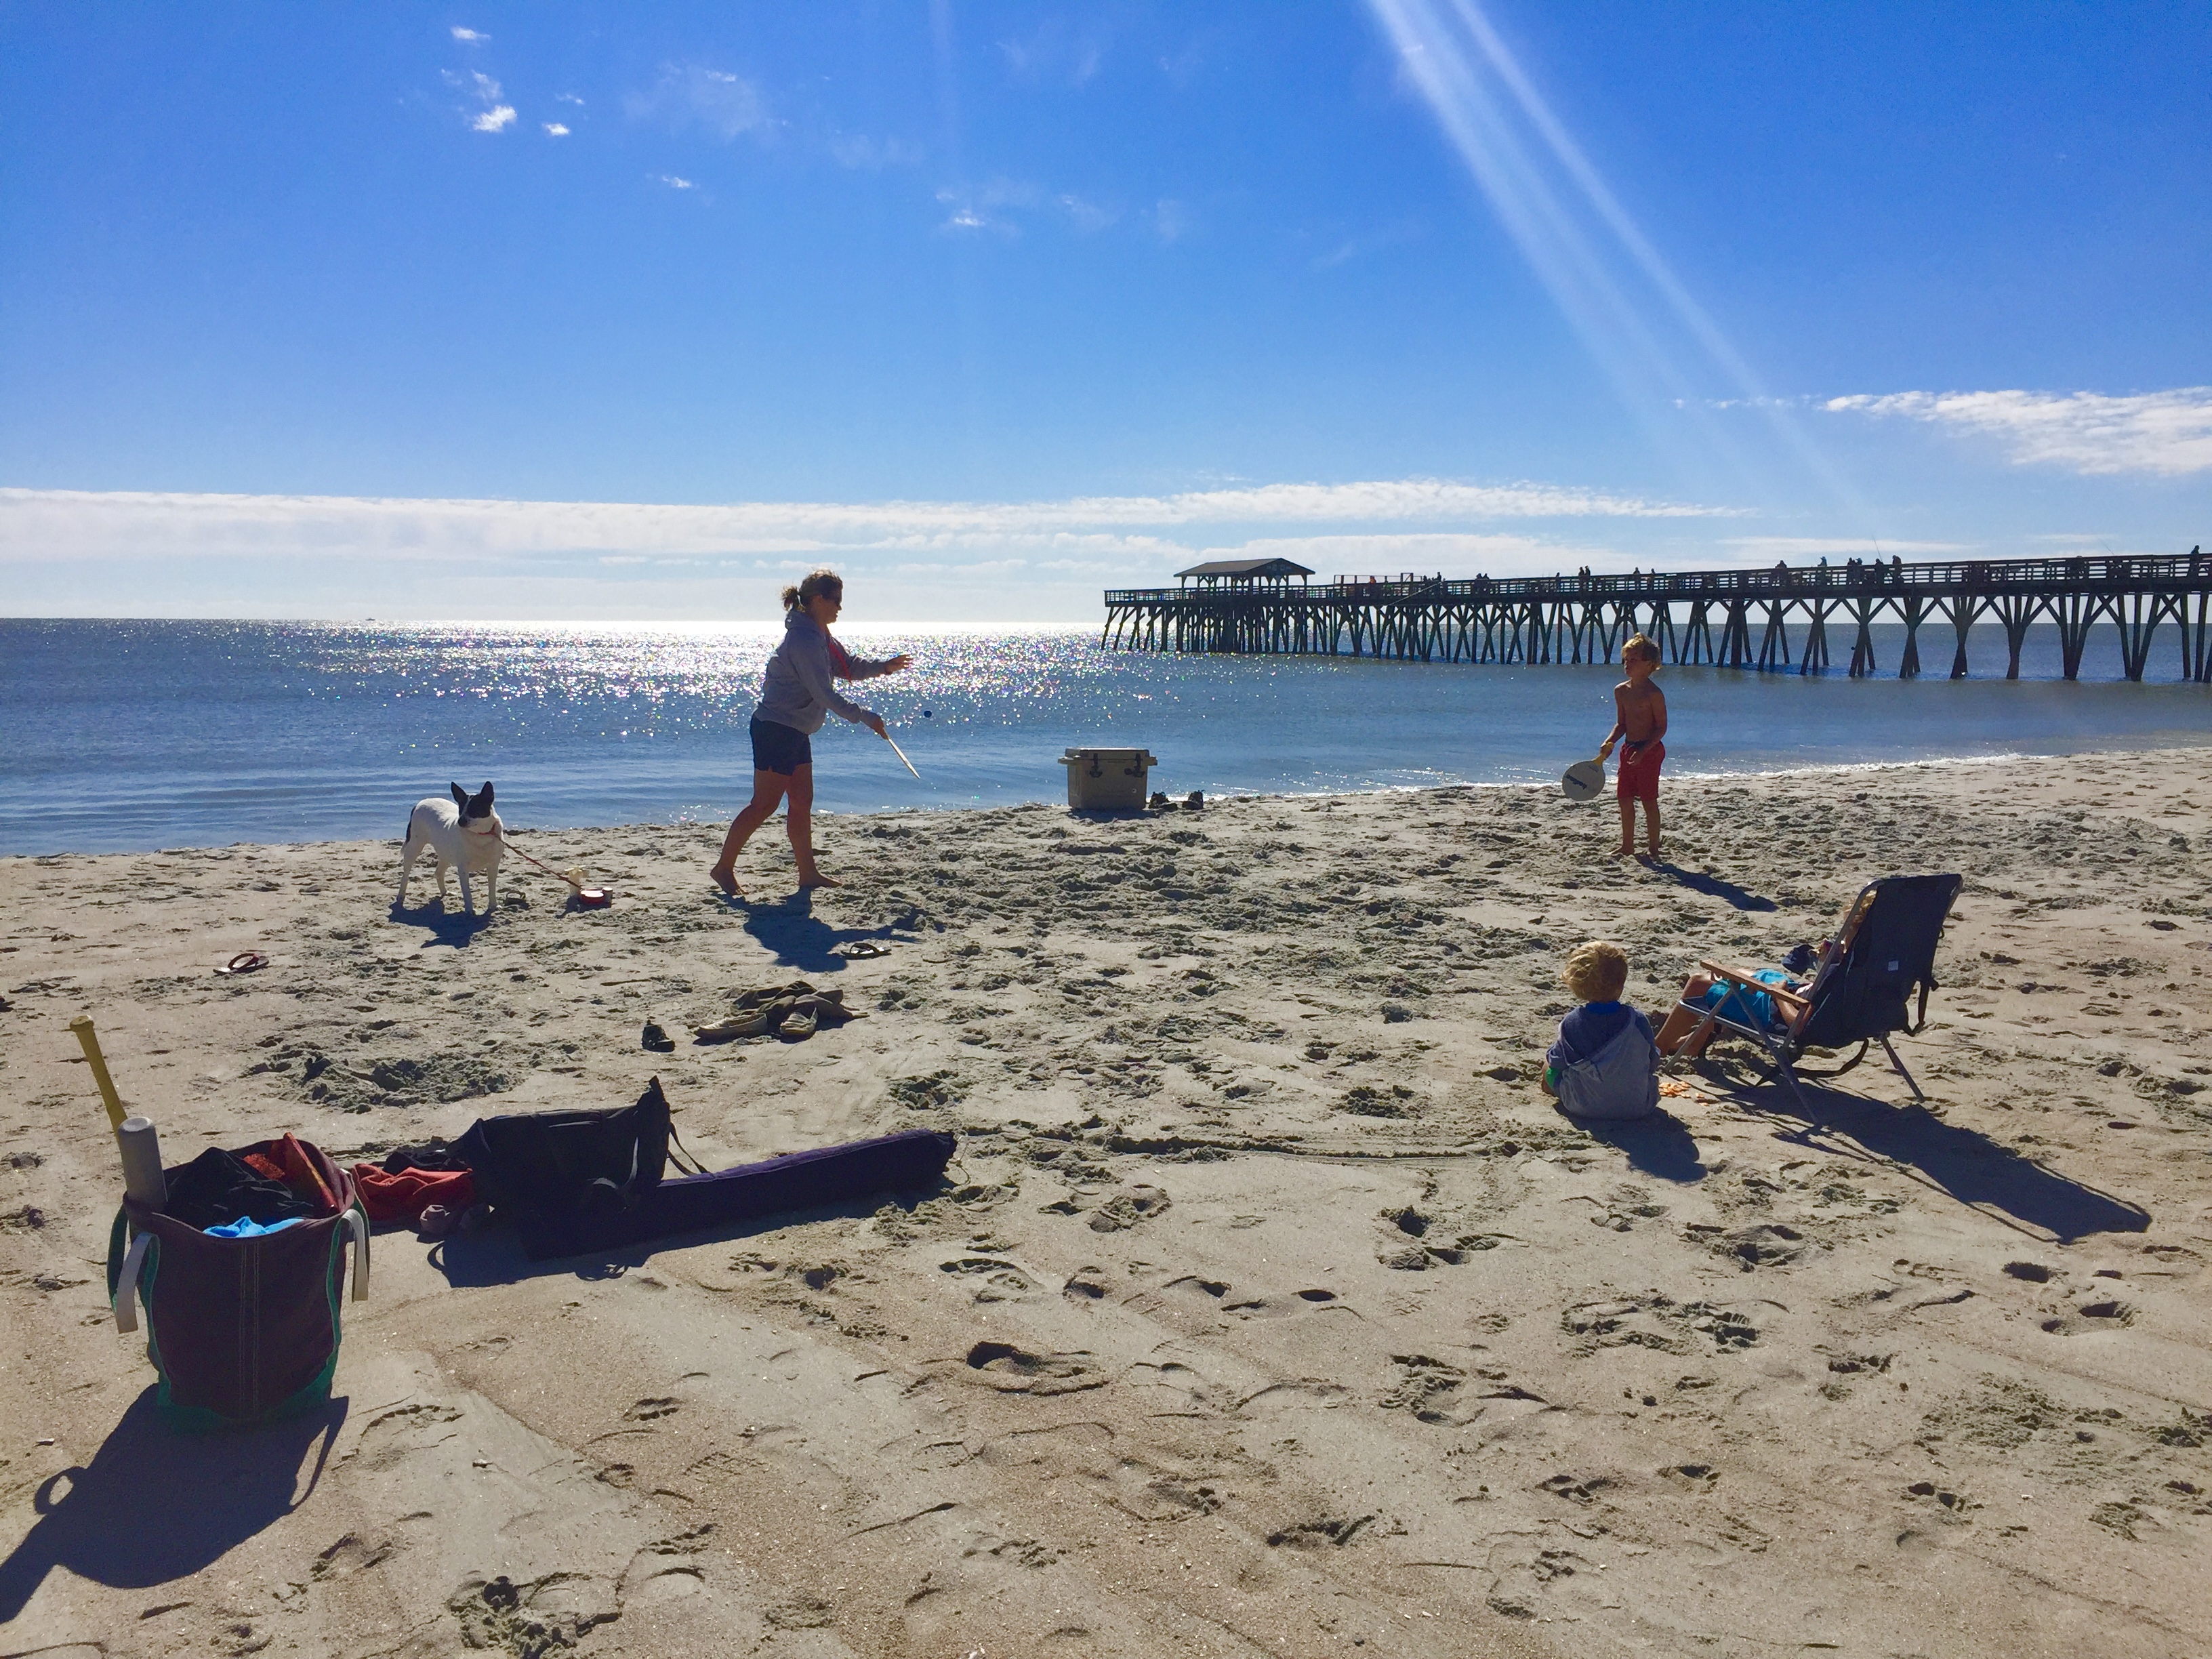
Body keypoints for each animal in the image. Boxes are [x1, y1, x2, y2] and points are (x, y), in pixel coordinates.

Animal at [400, 783, 504, 916]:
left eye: (476, 808)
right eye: (461, 808)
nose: (461, 821)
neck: (481, 834)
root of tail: (421, 802)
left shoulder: (493, 866)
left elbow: (492, 888)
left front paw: (493, 906)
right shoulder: (463, 869)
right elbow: (467, 892)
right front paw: (469, 910)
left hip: (445, 853)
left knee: (438, 873)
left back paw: (445, 892)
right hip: (414, 847)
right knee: (406, 874)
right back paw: (401, 895)